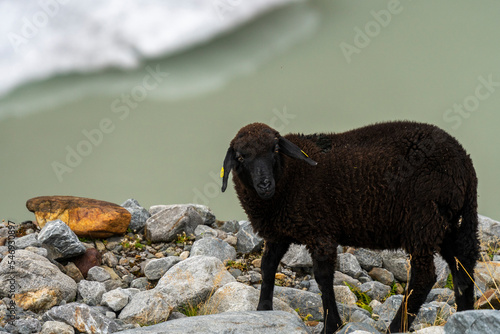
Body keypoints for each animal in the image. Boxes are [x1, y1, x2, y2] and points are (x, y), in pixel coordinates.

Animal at [221, 121, 478, 332]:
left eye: (275, 150)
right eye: (241, 157)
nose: (265, 185)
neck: (289, 175)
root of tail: (464, 163)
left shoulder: (320, 231)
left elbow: (323, 277)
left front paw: (331, 325)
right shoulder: (279, 233)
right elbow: (267, 266)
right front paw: (262, 310)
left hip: (422, 222)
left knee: (424, 277)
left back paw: (396, 327)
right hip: (450, 223)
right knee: (463, 266)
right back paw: (465, 316)